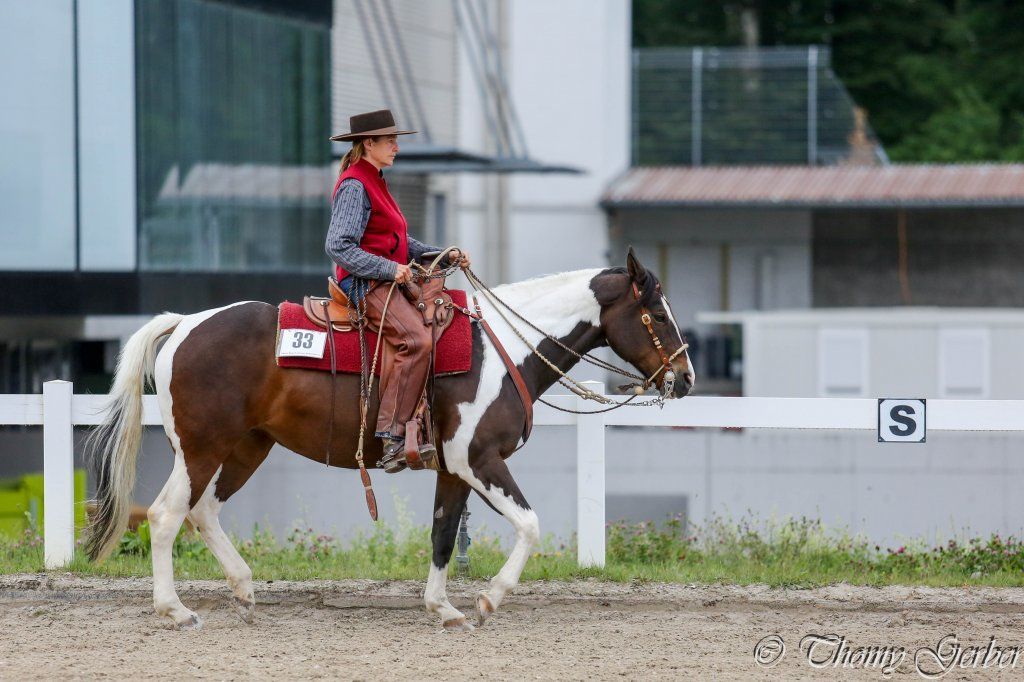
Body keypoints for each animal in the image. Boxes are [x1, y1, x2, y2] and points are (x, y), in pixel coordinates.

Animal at [83, 248, 694, 631]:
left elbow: (443, 535)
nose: (685, 379)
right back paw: (176, 610)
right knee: (166, 515)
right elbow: (530, 524)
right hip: (202, 448)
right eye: (657, 314)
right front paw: (489, 599)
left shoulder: (453, 469)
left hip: (247, 447)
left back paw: (245, 590)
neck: (501, 352)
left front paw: (443, 609)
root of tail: (185, 323)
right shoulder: (479, 459)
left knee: (202, 511)